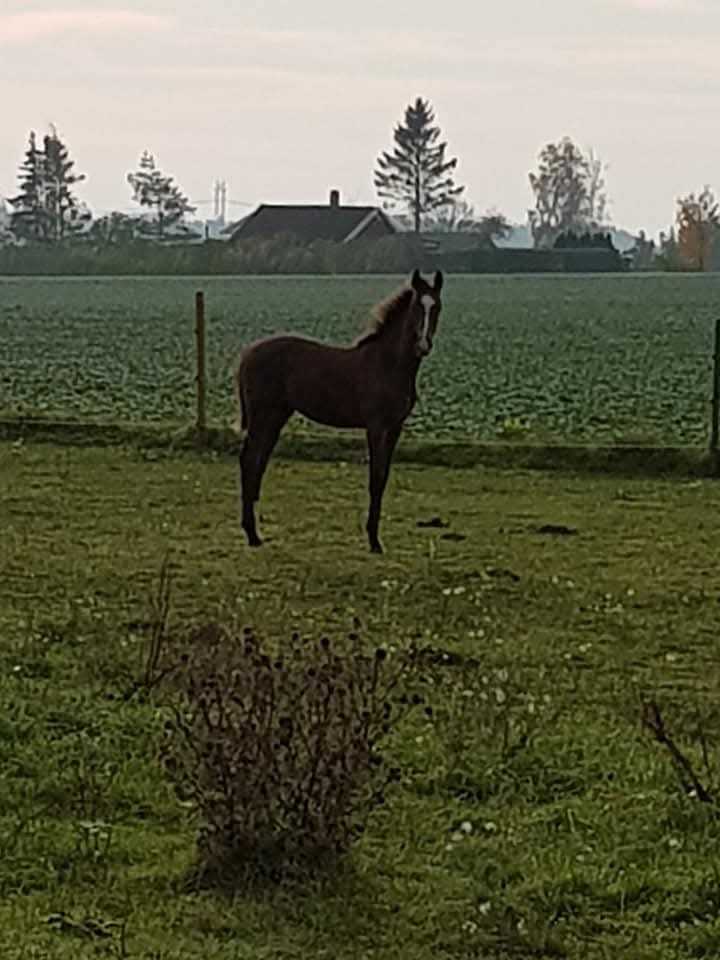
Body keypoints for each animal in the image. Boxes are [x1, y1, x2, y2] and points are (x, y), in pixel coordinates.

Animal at [234, 268, 444, 553]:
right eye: (415, 308)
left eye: (437, 307)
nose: (423, 345)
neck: (388, 365)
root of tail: (248, 353)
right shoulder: (376, 427)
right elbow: (375, 478)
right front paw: (374, 541)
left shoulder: (395, 428)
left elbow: (384, 478)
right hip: (261, 415)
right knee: (248, 459)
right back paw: (252, 534)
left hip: (276, 416)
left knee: (258, 460)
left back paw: (254, 529)